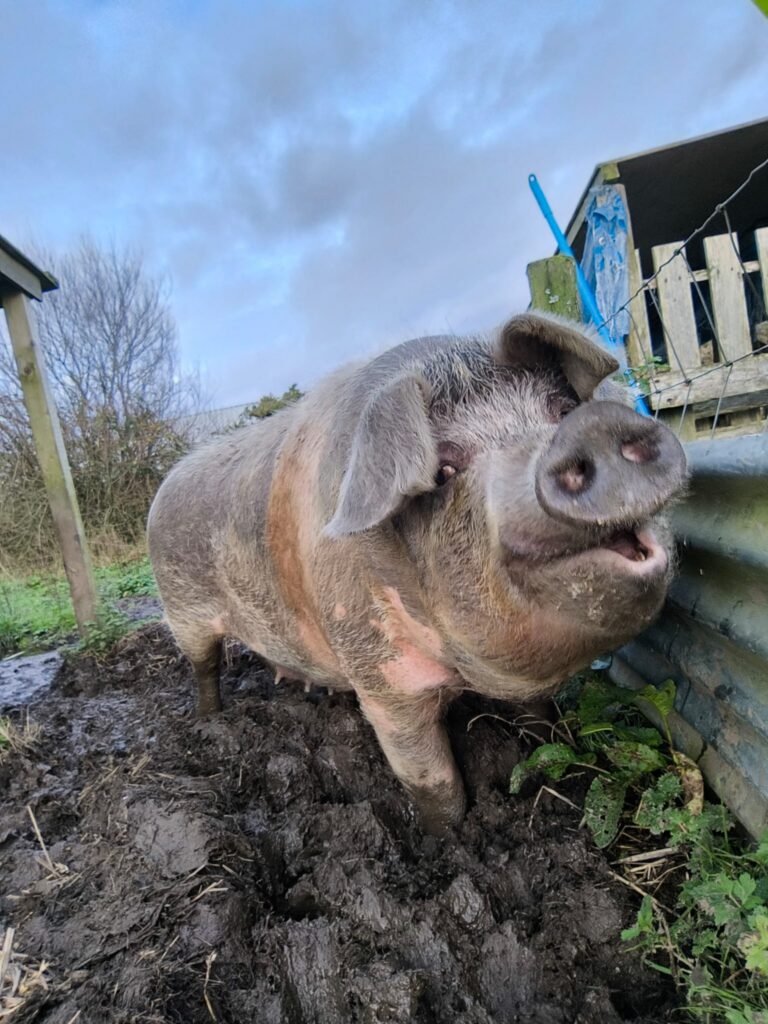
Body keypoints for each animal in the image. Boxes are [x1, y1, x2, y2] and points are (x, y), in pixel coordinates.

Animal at [147, 313, 687, 833]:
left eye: (560, 411)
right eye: (443, 470)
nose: (589, 428)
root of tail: (165, 484)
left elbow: (540, 718)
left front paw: (544, 745)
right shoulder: (379, 673)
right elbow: (431, 778)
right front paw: (448, 839)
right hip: (183, 609)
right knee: (204, 666)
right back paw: (210, 720)